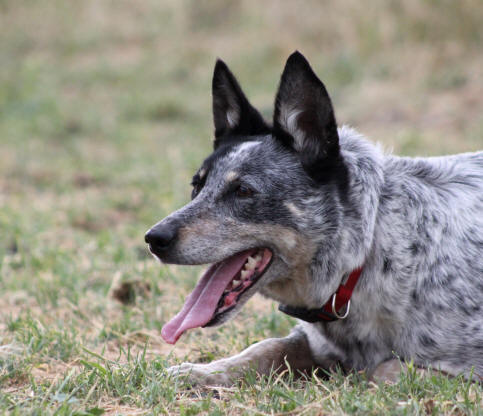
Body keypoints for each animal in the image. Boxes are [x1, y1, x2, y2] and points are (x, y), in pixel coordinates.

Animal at [145, 52, 483, 386]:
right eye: (197, 186)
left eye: (242, 190)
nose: (153, 238)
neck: (365, 257)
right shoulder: (309, 340)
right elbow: (264, 348)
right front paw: (200, 371)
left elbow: (387, 368)